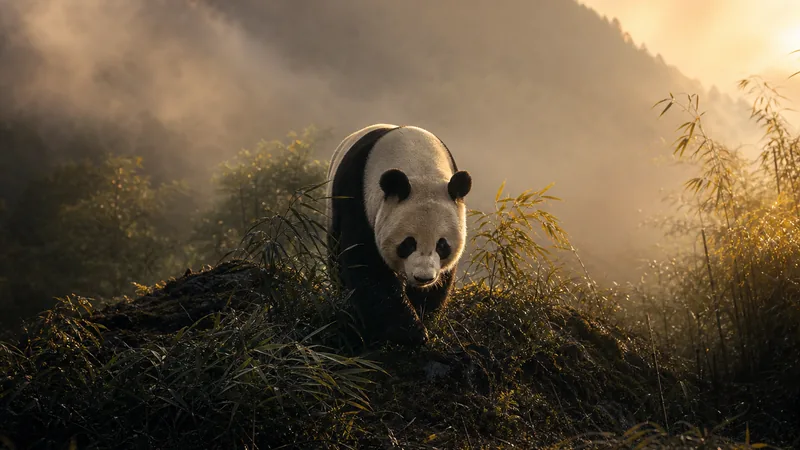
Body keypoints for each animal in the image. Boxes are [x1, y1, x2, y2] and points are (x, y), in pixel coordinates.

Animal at [326, 123, 472, 347]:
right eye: (408, 243)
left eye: (442, 245)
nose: (423, 277)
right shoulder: (358, 197)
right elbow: (367, 266)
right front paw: (408, 332)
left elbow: (441, 281)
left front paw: (423, 315)